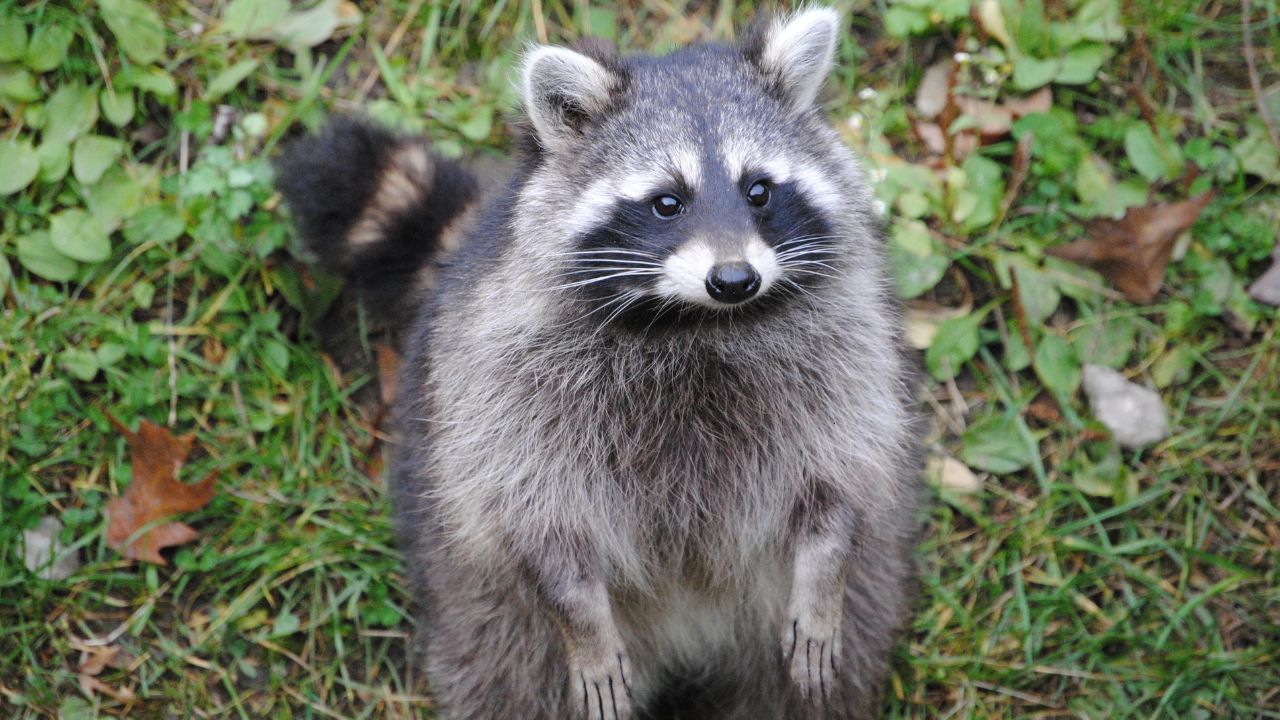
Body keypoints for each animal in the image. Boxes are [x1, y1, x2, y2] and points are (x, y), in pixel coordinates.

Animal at [278, 7, 924, 719]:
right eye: (667, 202)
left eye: (759, 190)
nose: (735, 280)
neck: (693, 321)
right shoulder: (503, 375)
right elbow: (535, 513)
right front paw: (578, 612)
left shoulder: (843, 343)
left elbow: (840, 471)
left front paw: (823, 565)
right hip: (482, 603)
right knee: (509, 676)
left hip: (847, 596)